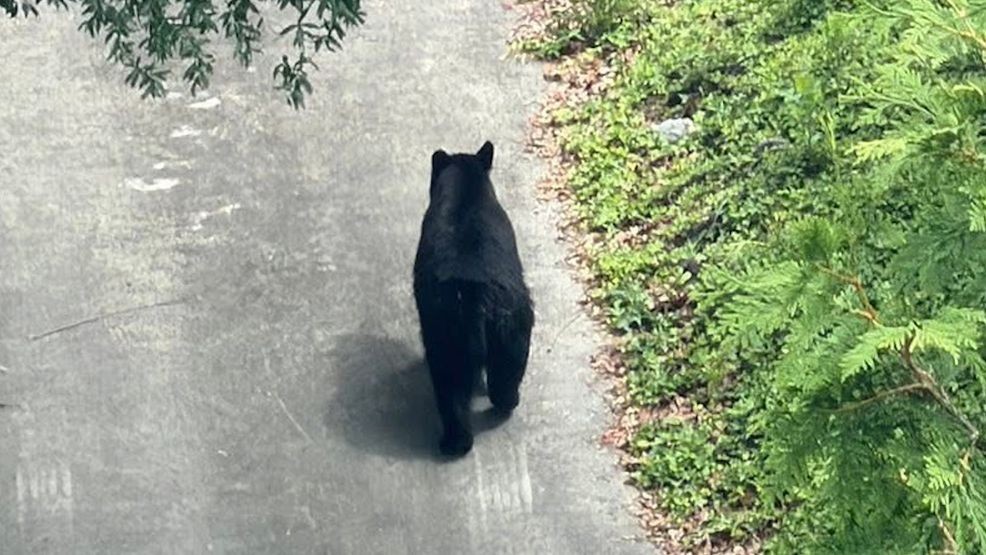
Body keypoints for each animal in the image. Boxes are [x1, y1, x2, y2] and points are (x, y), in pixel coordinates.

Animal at [412, 141, 535, 457]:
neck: (466, 189)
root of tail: (474, 299)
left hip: (449, 331)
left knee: (451, 386)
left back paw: (454, 442)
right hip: (510, 323)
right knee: (505, 373)